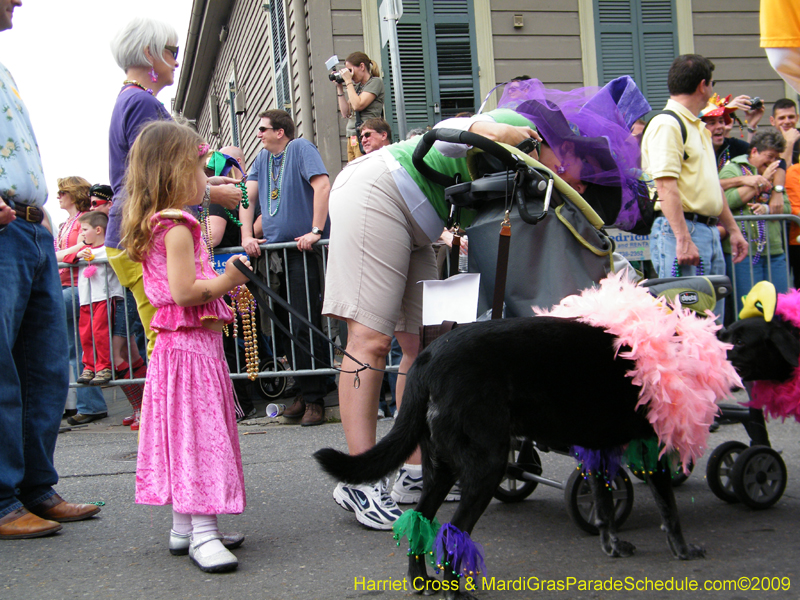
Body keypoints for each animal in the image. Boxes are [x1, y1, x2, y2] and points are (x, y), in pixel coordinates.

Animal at [316, 316, 704, 596]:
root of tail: (426, 361)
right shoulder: (651, 448)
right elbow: (669, 510)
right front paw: (683, 550)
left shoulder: (598, 453)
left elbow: (605, 507)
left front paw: (613, 544)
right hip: (488, 465)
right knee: (453, 533)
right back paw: (457, 592)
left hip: (441, 470)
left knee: (420, 523)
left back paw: (423, 582)